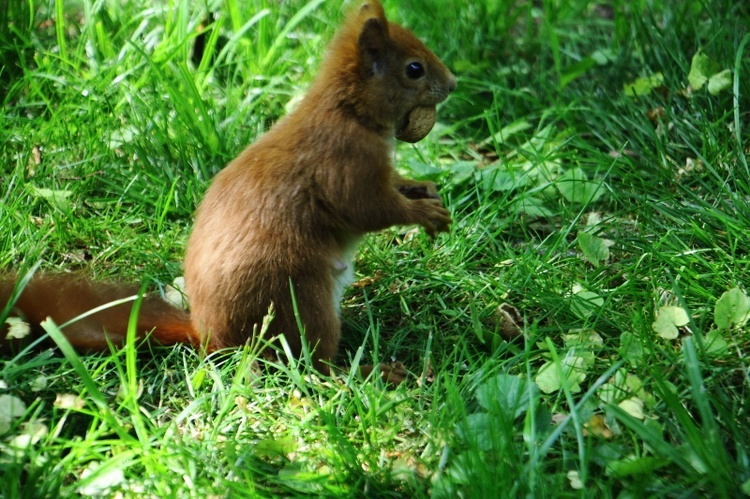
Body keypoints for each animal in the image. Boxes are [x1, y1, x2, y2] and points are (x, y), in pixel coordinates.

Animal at [0, 0, 458, 382]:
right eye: (414, 69)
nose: (453, 83)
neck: (348, 111)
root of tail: (212, 336)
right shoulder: (344, 165)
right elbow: (369, 208)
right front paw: (424, 215)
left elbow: (393, 186)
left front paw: (423, 189)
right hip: (298, 296)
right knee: (311, 364)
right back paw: (369, 372)